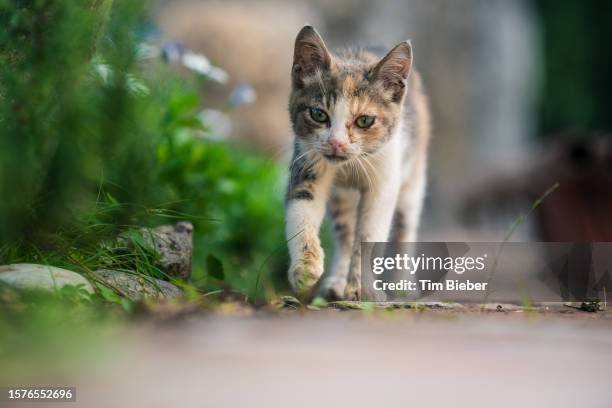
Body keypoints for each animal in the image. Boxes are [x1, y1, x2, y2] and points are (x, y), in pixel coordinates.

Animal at [286, 25, 430, 300]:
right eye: (318, 114)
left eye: (364, 121)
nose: (336, 143)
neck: (349, 165)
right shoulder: (306, 161)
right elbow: (301, 212)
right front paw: (306, 267)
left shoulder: (386, 177)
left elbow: (370, 232)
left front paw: (364, 290)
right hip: (341, 197)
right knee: (345, 233)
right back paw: (336, 284)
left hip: (413, 175)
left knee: (406, 226)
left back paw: (403, 286)